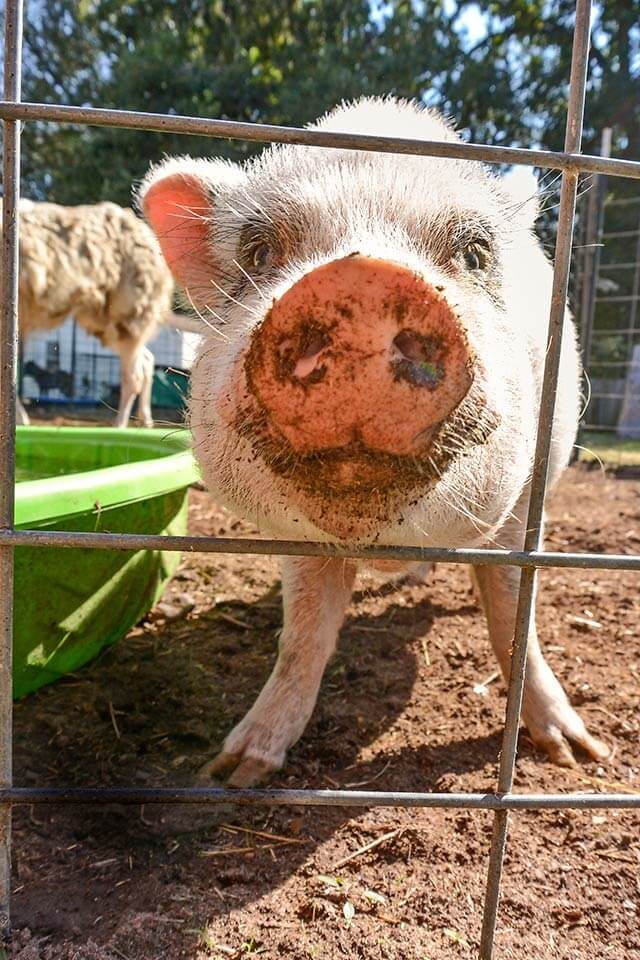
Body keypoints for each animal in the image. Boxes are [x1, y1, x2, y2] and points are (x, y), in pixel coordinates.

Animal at [140, 97, 608, 787]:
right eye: (259, 250)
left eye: (475, 253)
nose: (359, 281)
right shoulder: (298, 541)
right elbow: (304, 634)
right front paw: (232, 771)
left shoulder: (528, 503)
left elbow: (511, 613)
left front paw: (576, 753)